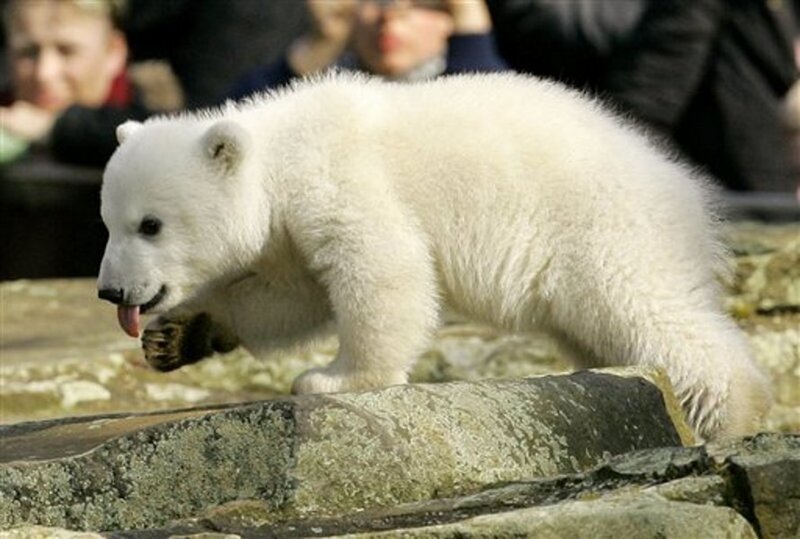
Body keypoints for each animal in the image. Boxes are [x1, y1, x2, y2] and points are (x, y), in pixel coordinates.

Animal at [97, 71, 771, 442]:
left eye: (150, 224)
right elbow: (288, 295)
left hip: (601, 228)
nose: (113, 292)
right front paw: (177, 336)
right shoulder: (285, 230)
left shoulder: (341, 179)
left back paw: (728, 416)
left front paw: (334, 379)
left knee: (642, 306)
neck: (282, 149)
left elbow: (382, 268)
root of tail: (686, 188)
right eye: (107, 222)